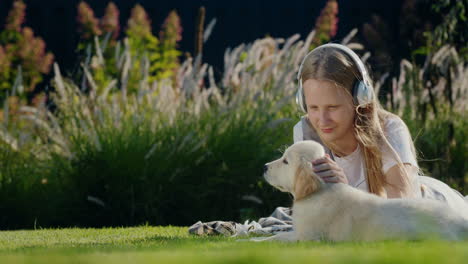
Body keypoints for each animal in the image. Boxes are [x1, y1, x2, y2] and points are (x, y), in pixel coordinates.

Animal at [256, 141, 468, 242]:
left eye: (285, 161)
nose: (264, 167)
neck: (320, 191)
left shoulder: (308, 237)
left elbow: (279, 238)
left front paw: (258, 242)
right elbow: (276, 235)